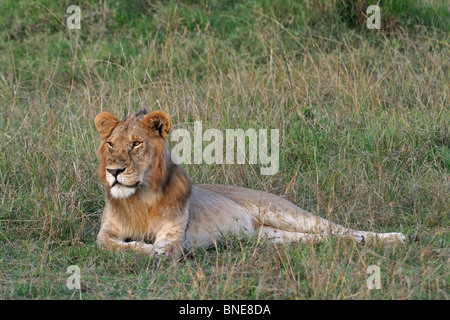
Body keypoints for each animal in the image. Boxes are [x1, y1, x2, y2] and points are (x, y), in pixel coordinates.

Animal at [93, 110, 406, 260]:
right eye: (111, 144)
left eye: (136, 143)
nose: (114, 171)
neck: (139, 197)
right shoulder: (106, 231)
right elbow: (107, 244)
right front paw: (139, 246)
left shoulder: (173, 233)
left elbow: (165, 249)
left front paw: (153, 250)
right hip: (269, 237)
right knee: (322, 238)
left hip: (282, 211)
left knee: (336, 228)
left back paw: (389, 238)